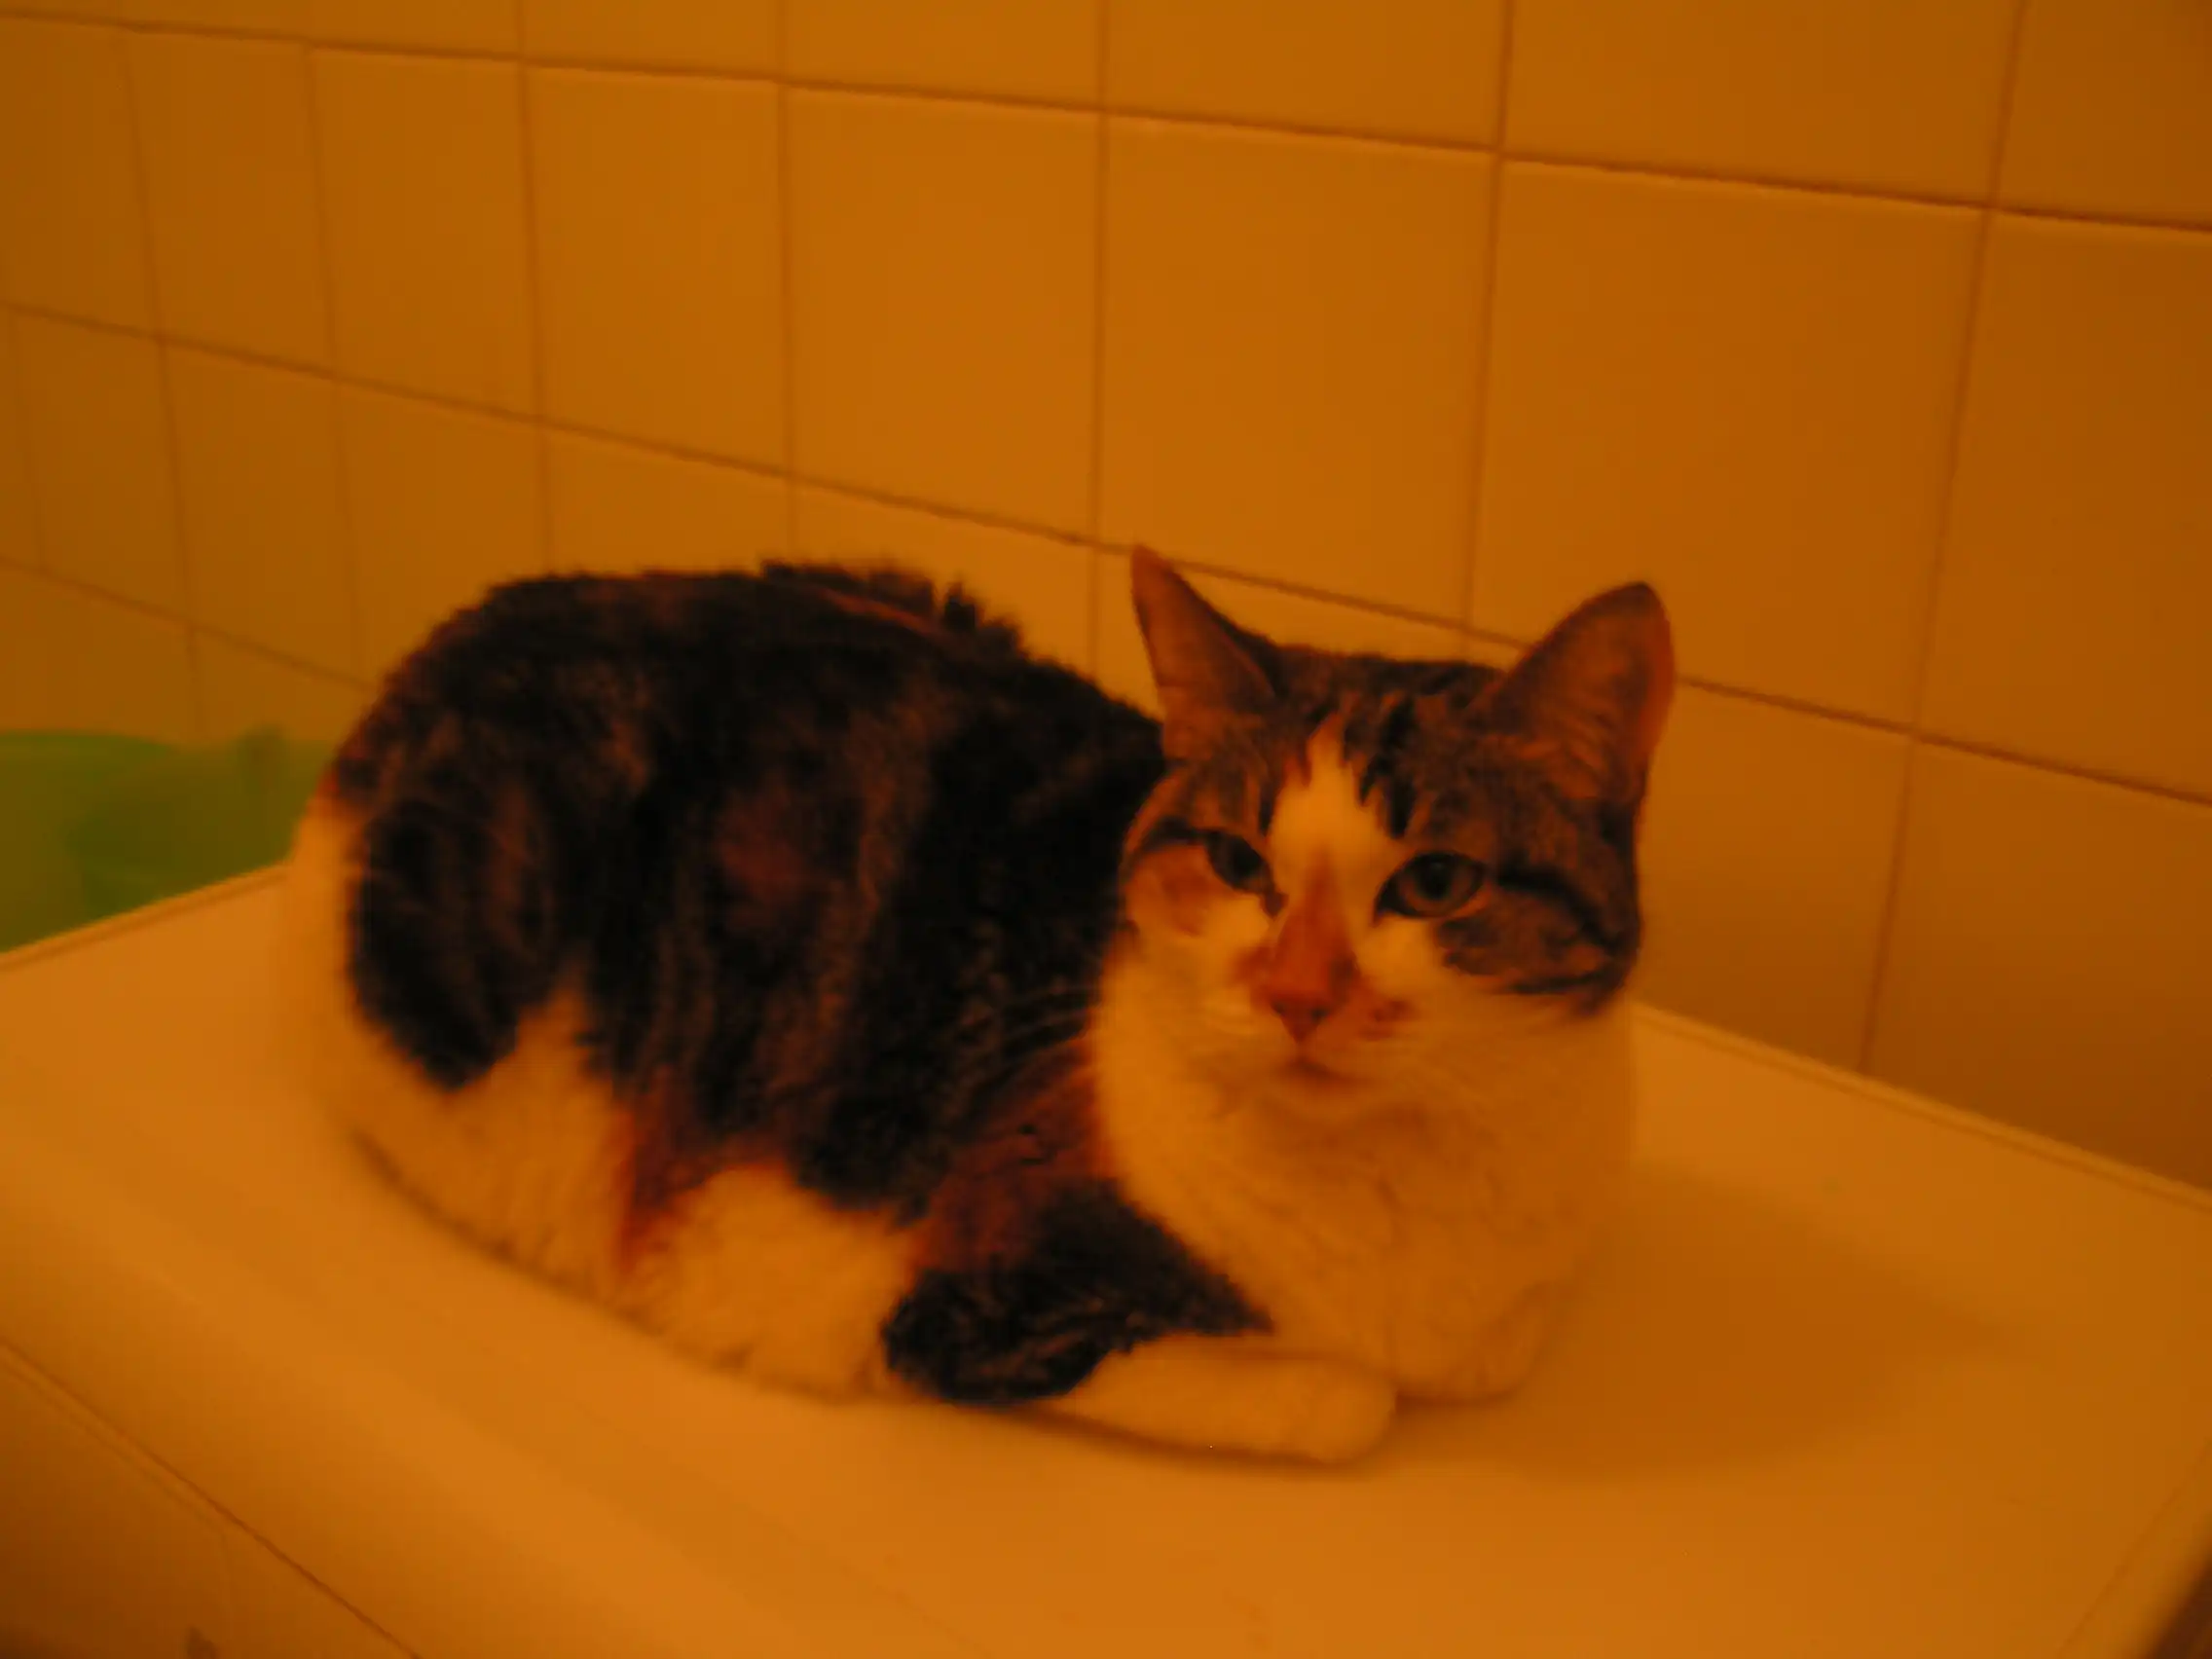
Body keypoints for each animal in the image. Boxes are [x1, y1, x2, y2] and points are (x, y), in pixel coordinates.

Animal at [277, 549, 1672, 1462]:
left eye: (1435, 883)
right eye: (1237, 864)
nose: (1297, 995)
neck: (1401, 1178)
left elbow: (1503, 1339)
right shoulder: (962, 1311)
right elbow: (1347, 1401)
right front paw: (1362, 1379)